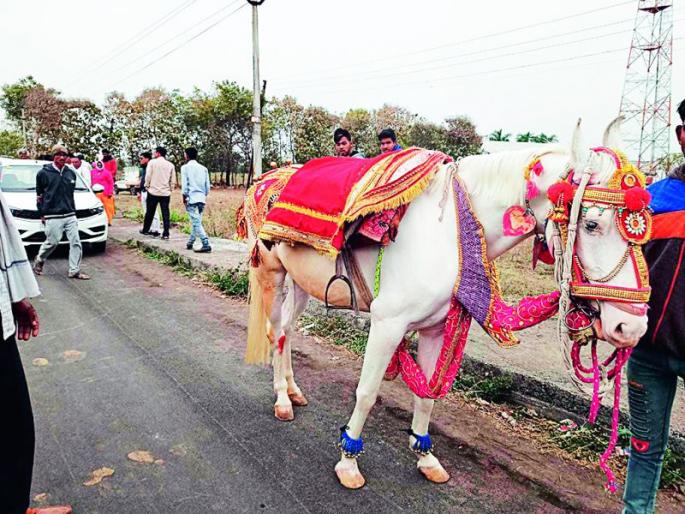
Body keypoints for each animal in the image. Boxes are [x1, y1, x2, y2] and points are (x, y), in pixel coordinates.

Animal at [241, 118, 649, 489]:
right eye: (592, 224)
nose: (631, 327)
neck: (451, 231)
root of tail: (265, 180)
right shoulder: (387, 324)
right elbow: (368, 392)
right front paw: (348, 460)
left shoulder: (436, 327)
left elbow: (427, 397)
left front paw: (425, 456)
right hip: (272, 274)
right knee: (276, 332)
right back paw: (282, 399)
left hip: (301, 283)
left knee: (288, 332)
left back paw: (293, 390)